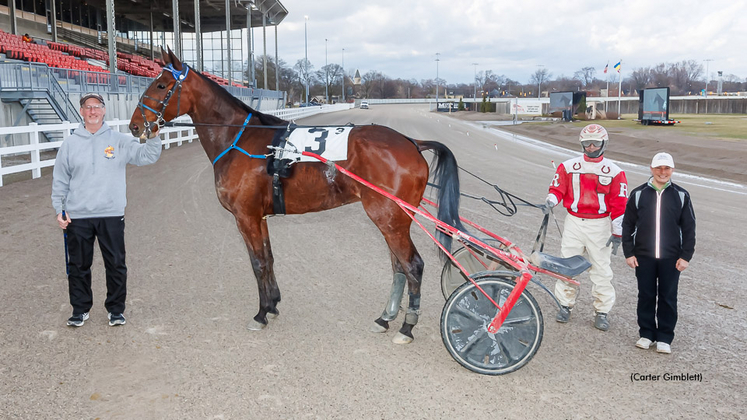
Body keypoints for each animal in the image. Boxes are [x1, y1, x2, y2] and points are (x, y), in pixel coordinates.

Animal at [131, 49, 464, 344]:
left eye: (161, 84)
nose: (135, 125)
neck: (241, 140)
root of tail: (411, 142)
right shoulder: (259, 216)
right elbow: (268, 258)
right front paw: (272, 305)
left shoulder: (245, 216)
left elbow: (257, 263)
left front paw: (260, 314)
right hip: (393, 219)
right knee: (398, 267)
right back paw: (385, 318)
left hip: (390, 218)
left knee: (413, 266)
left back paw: (407, 327)